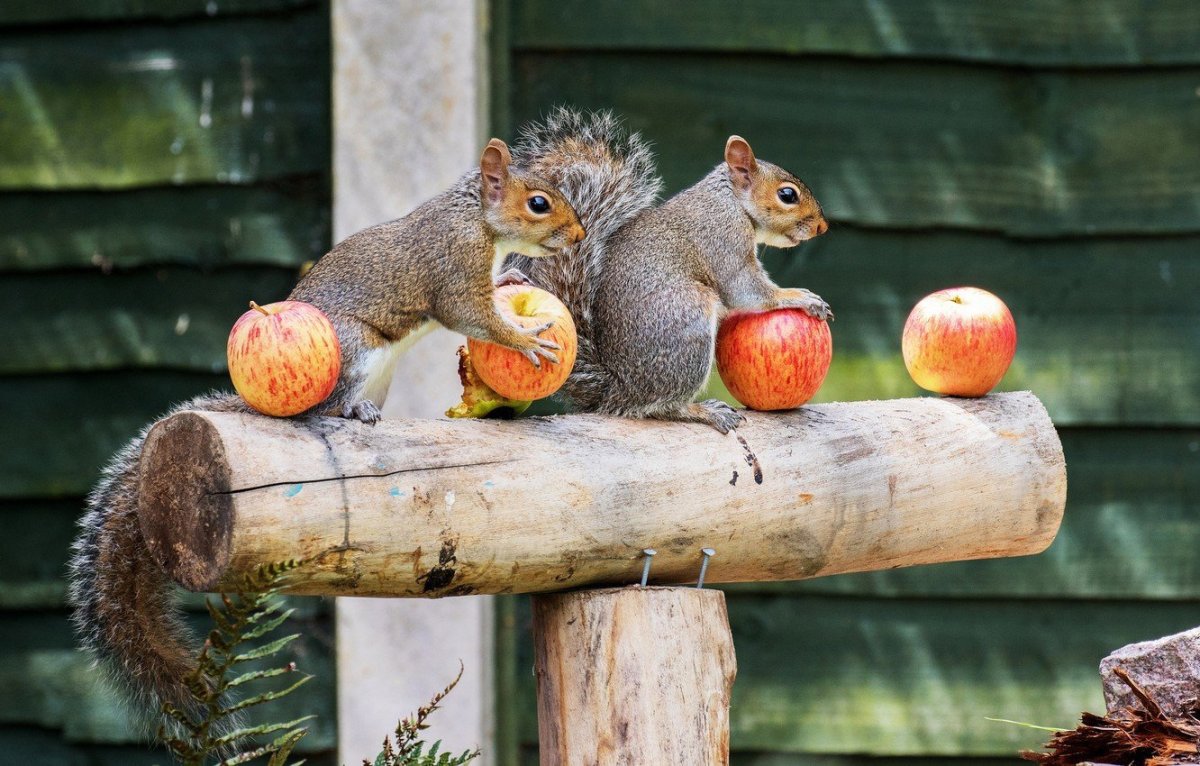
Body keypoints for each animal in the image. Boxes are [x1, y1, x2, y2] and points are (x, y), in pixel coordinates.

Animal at [68, 137, 587, 737]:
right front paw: (526, 337)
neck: (477, 218)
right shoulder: (453, 267)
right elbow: (471, 315)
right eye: (539, 204)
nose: (579, 235)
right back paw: (352, 410)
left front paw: (513, 282)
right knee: (326, 409)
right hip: (356, 351)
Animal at [510, 110, 831, 434]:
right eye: (787, 195)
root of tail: (619, 389)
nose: (823, 227)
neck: (731, 201)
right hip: (689, 317)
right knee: (661, 406)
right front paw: (800, 297)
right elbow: (746, 290)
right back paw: (703, 411)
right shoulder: (724, 239)